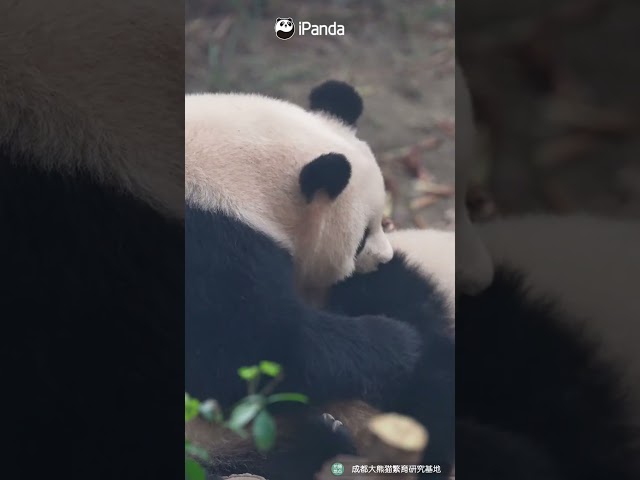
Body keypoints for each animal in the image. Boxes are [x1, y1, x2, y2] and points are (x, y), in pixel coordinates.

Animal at [185, 81, 434, 479]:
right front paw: (397, 341)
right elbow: (241, 347)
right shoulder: (206, 243)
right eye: (361, 238)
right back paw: (319, 437)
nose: (384, 259)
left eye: (385, 220)